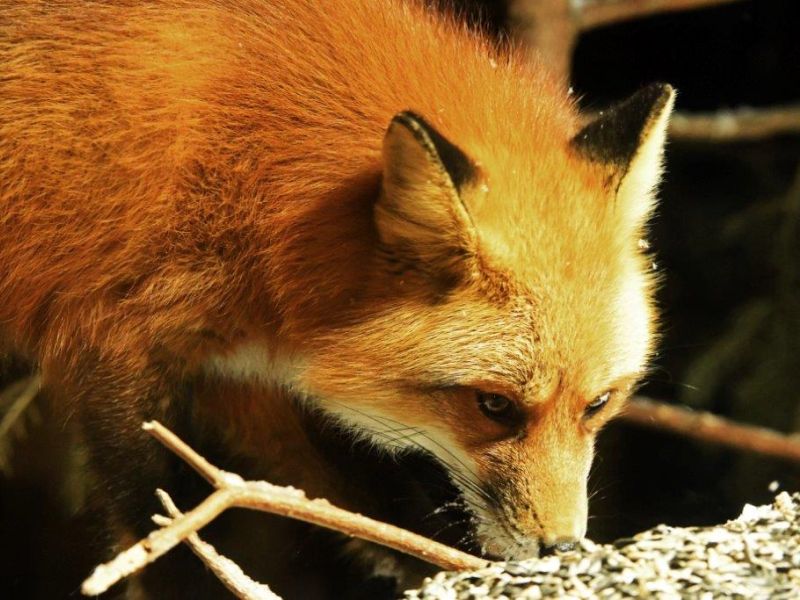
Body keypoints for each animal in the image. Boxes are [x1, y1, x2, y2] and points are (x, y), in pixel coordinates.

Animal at [0, 0, 675, 597]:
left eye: (598, 404)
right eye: (494, 406)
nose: (560, 547)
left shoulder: (245, 378)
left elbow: (370, 511)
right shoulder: (114, 349)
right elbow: (164, 529)